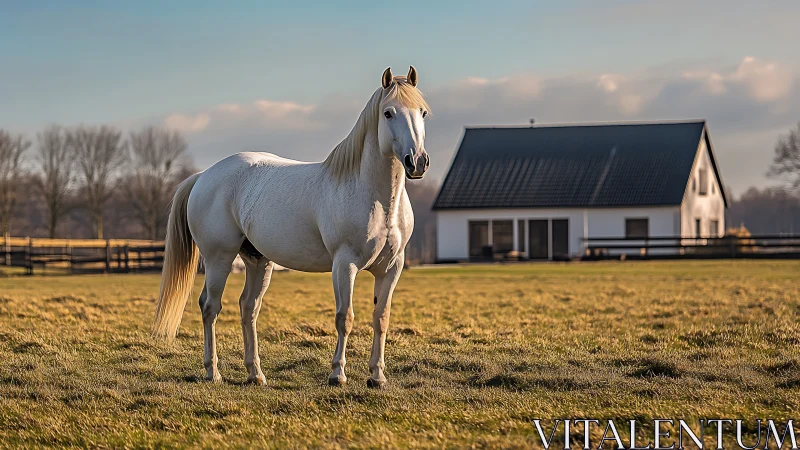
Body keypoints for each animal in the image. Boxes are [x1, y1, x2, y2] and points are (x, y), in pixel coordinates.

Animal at [152, 66, 430, 389]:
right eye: (388, 113)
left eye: (422, 112)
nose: (417, 162)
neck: (377, 199)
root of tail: (203, 176)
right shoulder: (344, 264)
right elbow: (344, 317)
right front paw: (337, 374)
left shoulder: (391, 267)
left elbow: (381, 318)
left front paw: (377, 376)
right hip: (218, 258)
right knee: (210, 307)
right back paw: (213, 371)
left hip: (258, 261)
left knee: (248, 309)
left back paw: (255, 374)